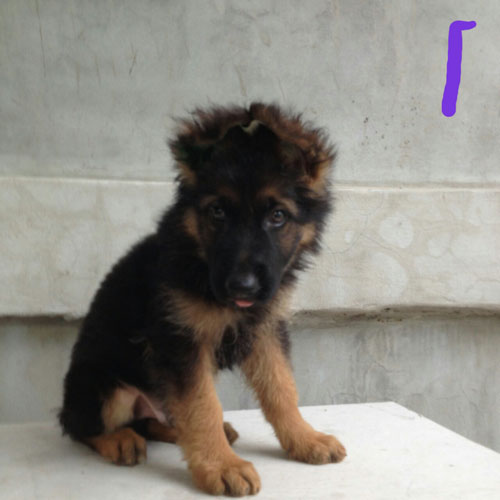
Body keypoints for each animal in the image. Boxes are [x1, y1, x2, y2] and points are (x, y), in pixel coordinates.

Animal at [59, 102, 346, 496]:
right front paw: (222, 465)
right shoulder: (181, 341)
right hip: (105, 388)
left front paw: (305, 438)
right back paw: (118, 439)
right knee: (81, 426)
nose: (242, 287)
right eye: (217, 211)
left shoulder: (265, 330)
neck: (199, 260)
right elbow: (201, 406)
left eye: (278, 216)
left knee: (155, 421)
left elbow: (281, 388)